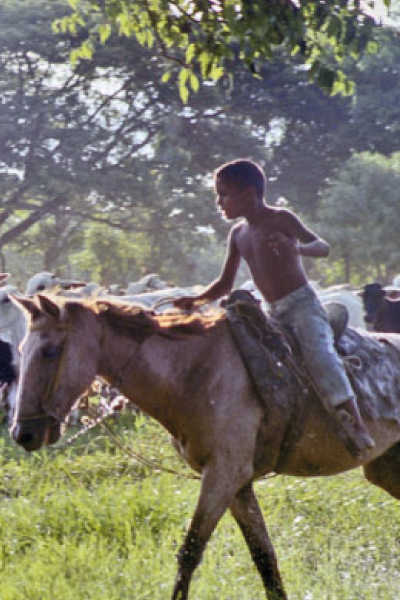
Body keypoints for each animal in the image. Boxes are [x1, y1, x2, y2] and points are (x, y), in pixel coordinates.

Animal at [8, 294, 400, 600]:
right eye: (22, 350)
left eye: (50, 351)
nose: (22, 433)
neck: (195, 370)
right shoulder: (238, 484)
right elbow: (264, 559)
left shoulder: (223, 474)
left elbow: (190, 552)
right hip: (384, 470)